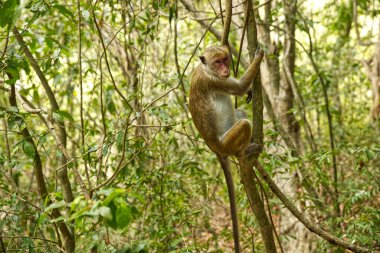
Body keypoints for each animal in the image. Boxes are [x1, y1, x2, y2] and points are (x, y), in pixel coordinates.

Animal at [188, 45, 264, 253]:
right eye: (217, 62)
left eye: (225, 60)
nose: (225, 70)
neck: (206, 69)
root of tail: (217, 150)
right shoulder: (213, 80)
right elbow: (238, 88)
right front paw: (258, 57)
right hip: (227, 143)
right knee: (244, 125)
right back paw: (243, 153)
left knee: (240, 113)